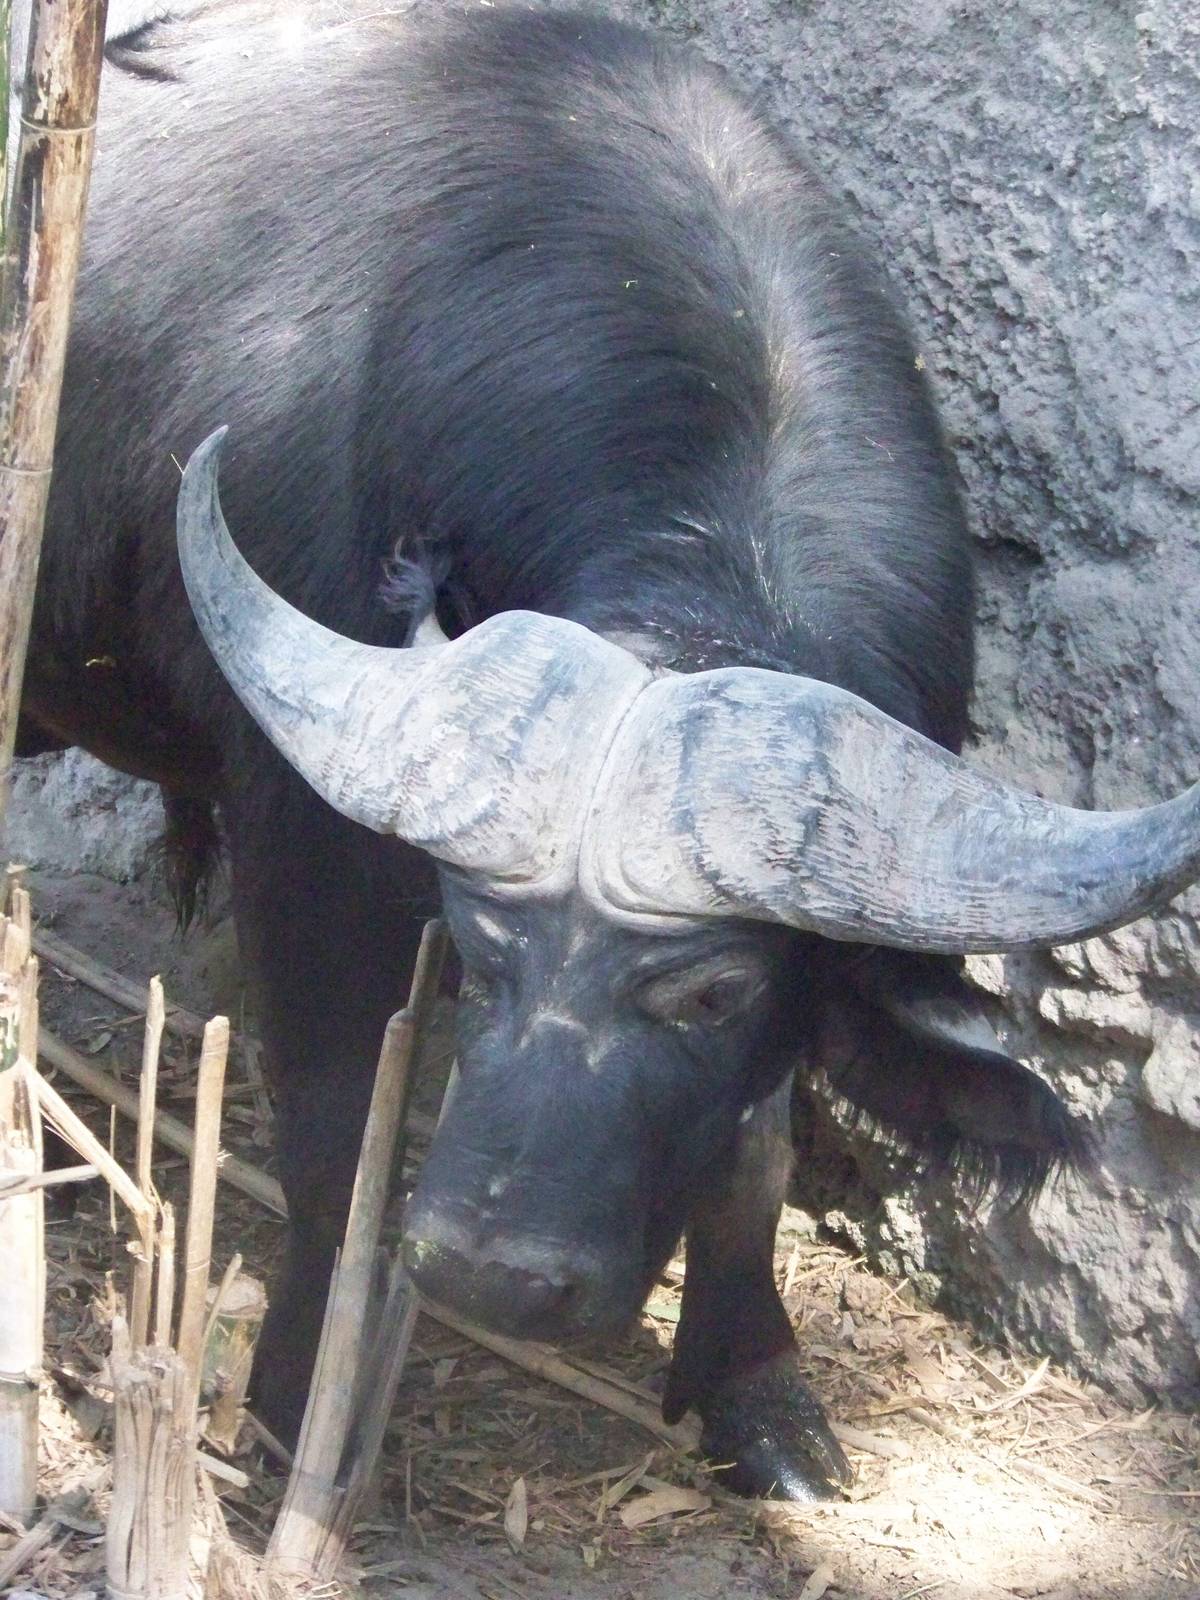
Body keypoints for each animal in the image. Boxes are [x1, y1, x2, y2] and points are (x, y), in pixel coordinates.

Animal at [20, 1, 1200, 1501]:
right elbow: (340, 1128)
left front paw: (760, 1392)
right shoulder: (308, 844)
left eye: (711, 993)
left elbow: (756, 1148)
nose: (491, 1273)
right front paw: (293, 1406)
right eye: (478, 958)